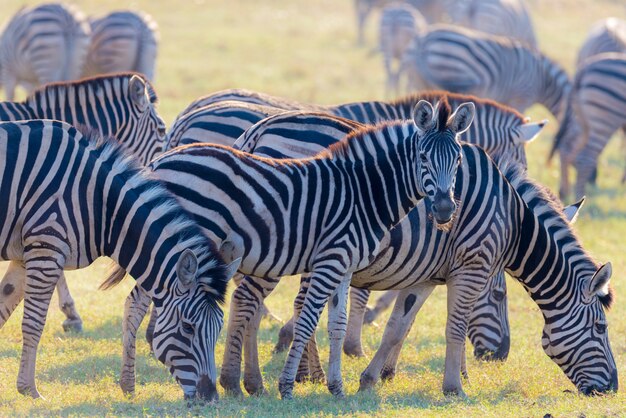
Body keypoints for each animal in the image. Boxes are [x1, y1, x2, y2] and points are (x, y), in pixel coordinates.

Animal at [0, 119, 239, 400]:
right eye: (188, 328)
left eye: (219, 328)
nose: (210, 397)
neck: (101, 205)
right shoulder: (45, 247)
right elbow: (33, 322)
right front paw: (30, 390)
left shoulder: (24, 255)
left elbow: (3, 305)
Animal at [552, 53, 624, 200]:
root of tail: (585, 67)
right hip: (602, 120)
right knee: (585, 158)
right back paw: (580, 197)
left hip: (582, 118)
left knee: (566, 147)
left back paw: (564, 192)